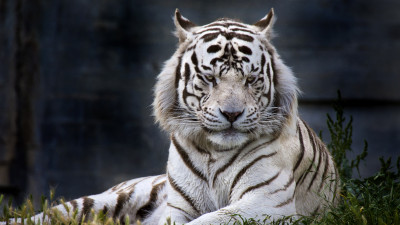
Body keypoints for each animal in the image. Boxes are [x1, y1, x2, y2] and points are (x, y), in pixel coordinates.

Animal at [4, 7, 340, 224]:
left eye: (250, 79)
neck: (214, 152)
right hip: (98, 201)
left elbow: (209, 221)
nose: (232, 114)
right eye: (210, 78)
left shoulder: (267, 201)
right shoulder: (178, 207)